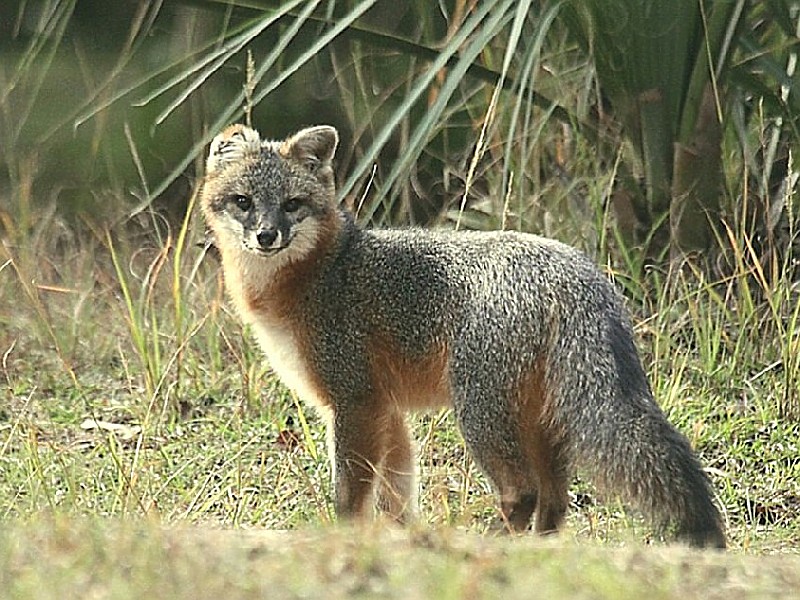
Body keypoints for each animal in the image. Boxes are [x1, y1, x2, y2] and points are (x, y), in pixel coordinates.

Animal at [200, 124, 724, 548]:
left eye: (292, 204)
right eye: (244, 202)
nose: (267, 235)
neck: (319, 270)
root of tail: (573, 268)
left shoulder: (354, 401)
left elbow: (351, 495)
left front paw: (347, 537)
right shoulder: (386, 408)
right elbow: (397, 497)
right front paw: (403, 538)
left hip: (478, 414)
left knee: (524, 493)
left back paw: (490, 541)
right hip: (539, 421)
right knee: (555, 501)